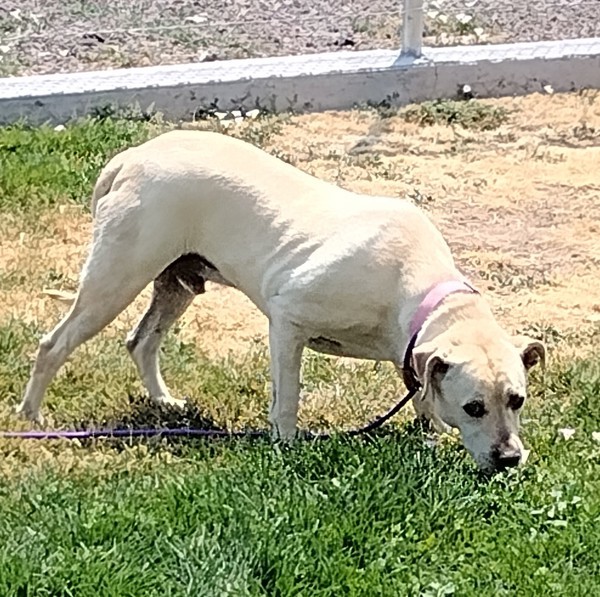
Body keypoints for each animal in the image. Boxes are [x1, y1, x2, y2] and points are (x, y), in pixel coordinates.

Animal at [17, 130, 544, 470]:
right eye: (474, 407)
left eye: (516, 399)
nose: (509, 459)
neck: (414, 287)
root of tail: (130, 158)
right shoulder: (288, 319)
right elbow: (287, 397)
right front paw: (286, 445)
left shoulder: (413, 353)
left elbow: (422, 396)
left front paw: (429, 437)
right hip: (116, 278)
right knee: (54, 344)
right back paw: (32, 417)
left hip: (176, 284)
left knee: (142, 341)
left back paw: (164, 401)